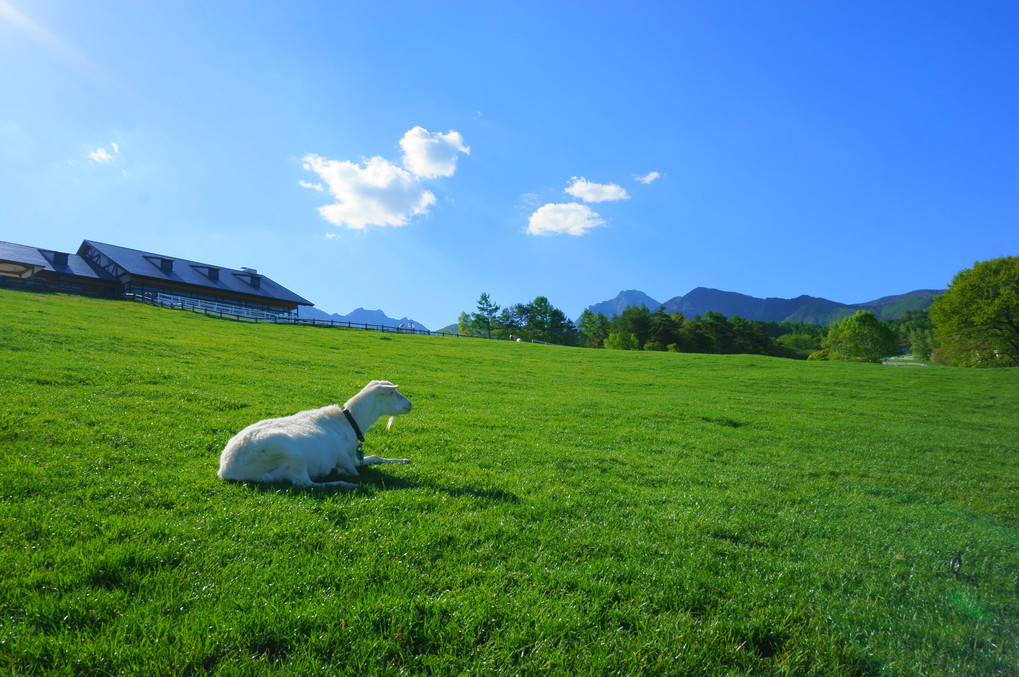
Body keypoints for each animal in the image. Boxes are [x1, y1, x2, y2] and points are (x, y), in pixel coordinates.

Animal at [217, 381, 411, 487]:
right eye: (393, 392)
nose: (410, 404)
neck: (349, 421)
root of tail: (226, 469)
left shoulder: (354, 457)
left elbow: (375, 457)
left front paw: (404, 460)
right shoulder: (344, 457)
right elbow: (356, 472)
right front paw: (345, 475)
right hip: (294, 456)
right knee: (304, 483)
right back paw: (344, 483)